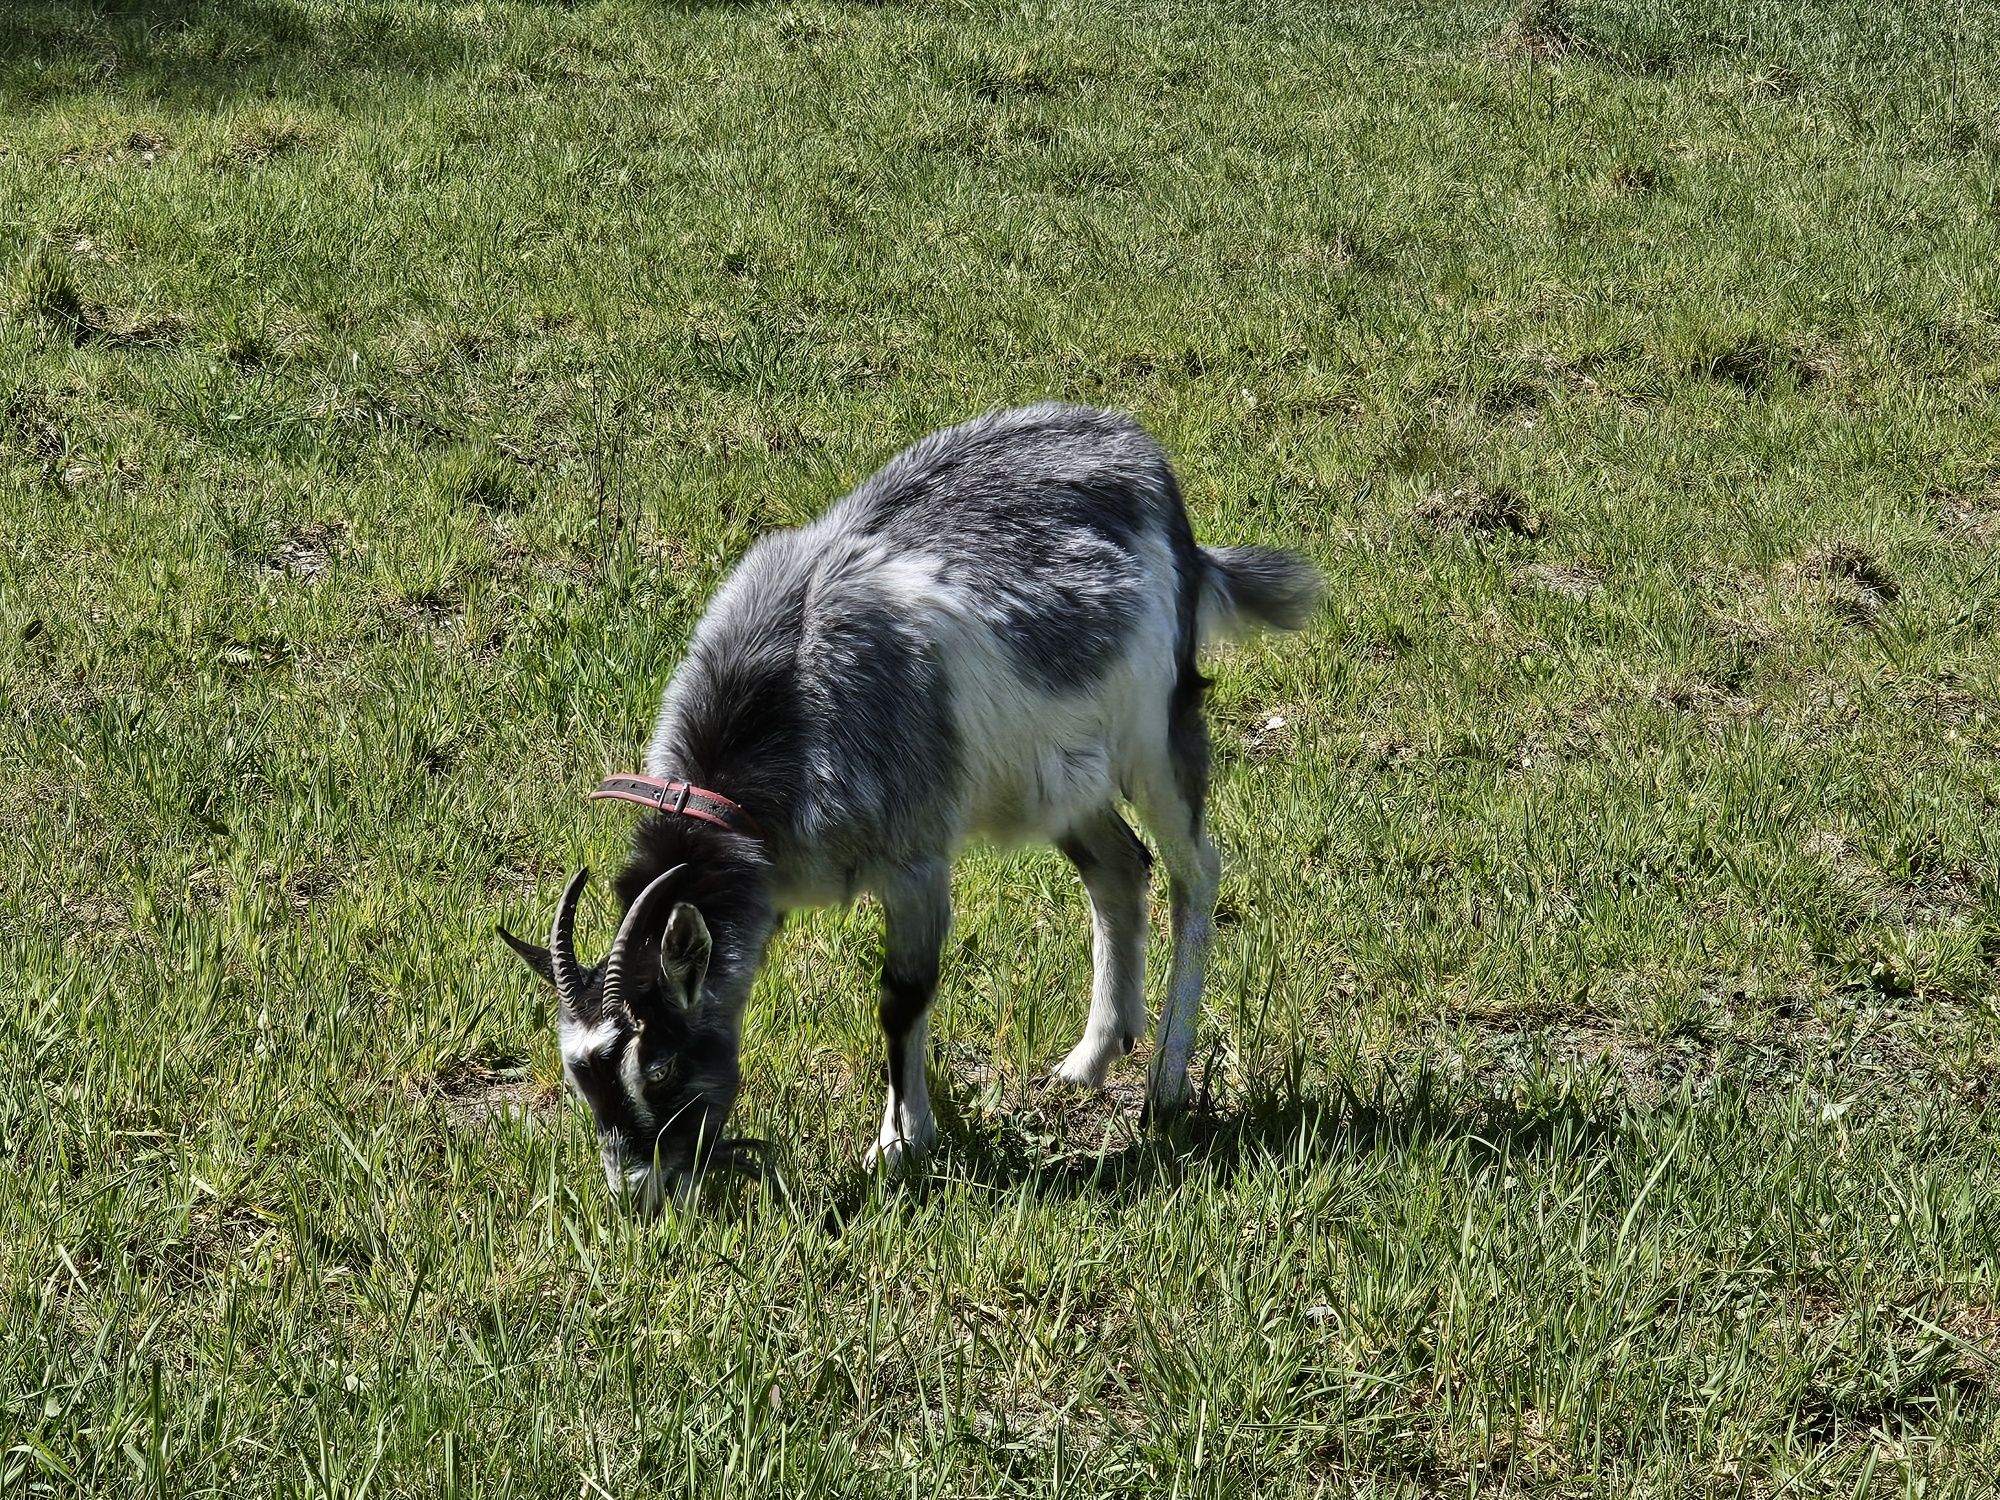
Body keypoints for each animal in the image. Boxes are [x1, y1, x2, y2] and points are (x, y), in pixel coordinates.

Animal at [496, 406, 1328, 1216]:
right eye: (580, 1080)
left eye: (663, 1067)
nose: (636, 1195)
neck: (781, 699)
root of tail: (1148, 468)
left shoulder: (916, 858)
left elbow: (902, 996)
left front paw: (898, 1145)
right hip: (1061, 779)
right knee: (1121, 871)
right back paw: (1088, 1060)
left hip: (1156, 733)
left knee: (1195, 872)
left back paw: (1165, 1085)